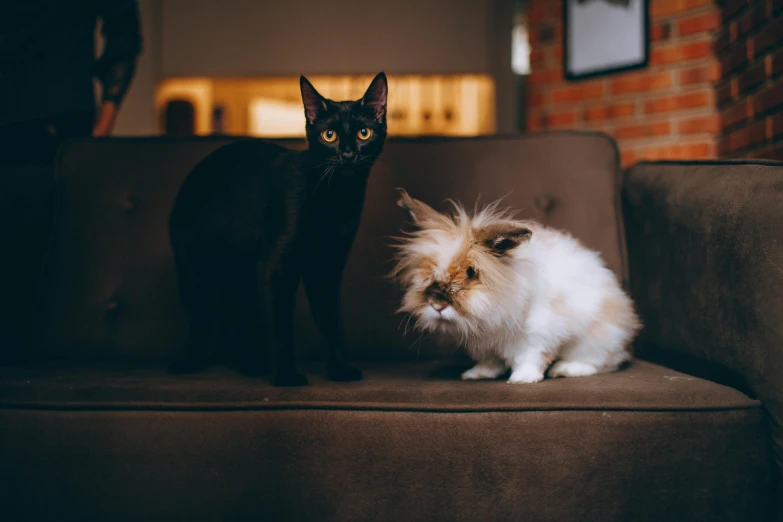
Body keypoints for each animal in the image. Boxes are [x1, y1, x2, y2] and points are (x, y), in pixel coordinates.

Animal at [168, 71, 388, 384]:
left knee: (236, 320)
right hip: (194, 269)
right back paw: (191, 362)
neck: (334, 197)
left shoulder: (327, 266)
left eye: (364, 133)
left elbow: (330, 322)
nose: (347, 154)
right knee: (201, 320)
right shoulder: (276, 264)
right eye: (329, 135)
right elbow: (281, 324)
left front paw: (338, 369)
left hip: (240, 277)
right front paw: (286, 376)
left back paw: (251, 364)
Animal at [392, 190, 644, 382]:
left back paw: (566, 369)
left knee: (602, 361)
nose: (437, 304)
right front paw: (476, 375)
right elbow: (489, 361)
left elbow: (531, 357)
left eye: (471, 273)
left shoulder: (538, 333)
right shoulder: (485, 344)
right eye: (426, 270)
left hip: (597, 339)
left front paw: (523, 379)